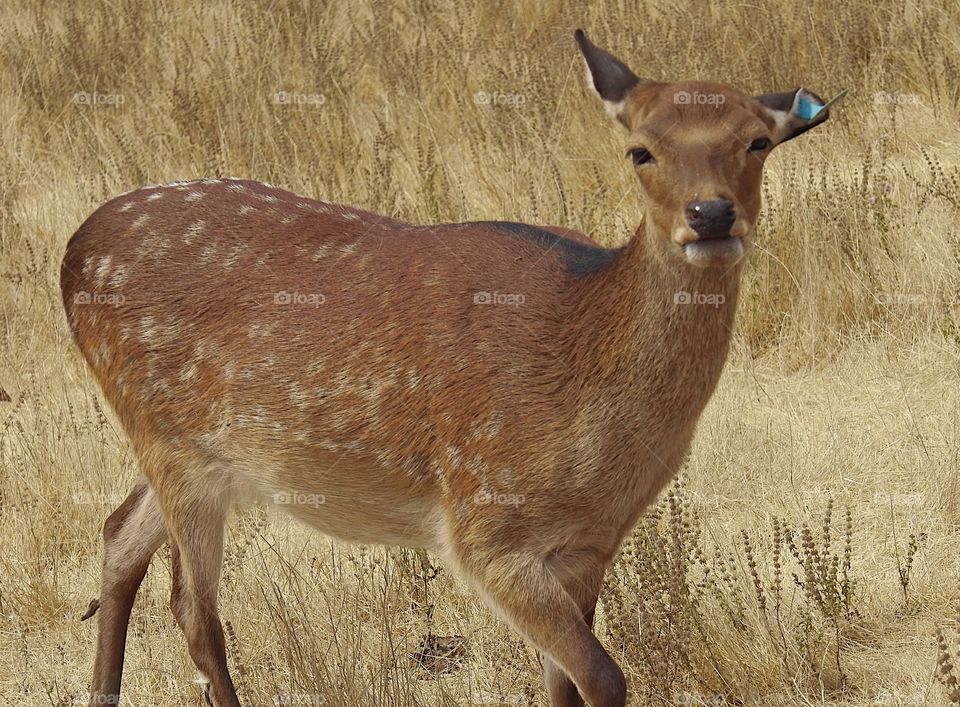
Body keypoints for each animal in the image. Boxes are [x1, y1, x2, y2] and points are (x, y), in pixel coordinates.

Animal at [62, 30, 832, 707]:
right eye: (640, 149)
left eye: (756, 141)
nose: (711, 213)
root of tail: (73, 253)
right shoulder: (482, 529)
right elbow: (604, 676)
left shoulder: (589, 544)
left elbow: (564, 681)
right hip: (174, 442)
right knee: (194, 609)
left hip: (189, 454)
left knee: (118, 534)